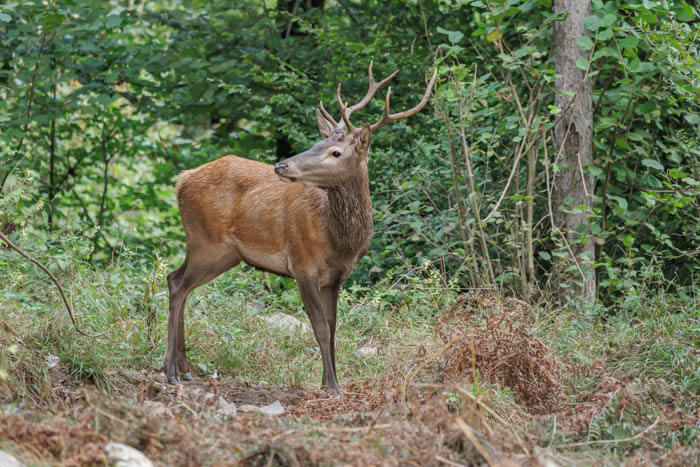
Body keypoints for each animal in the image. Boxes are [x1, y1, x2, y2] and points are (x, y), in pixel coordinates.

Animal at [165, 60, 438, 394]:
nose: (281, 165)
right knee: (178, 284)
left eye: (335, 152)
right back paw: (170, 371)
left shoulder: (335, 277)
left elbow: (333, 327)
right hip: (207, 242)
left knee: (178, 282)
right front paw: (331, 386)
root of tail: (182, 179)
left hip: (222, 253)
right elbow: (319, 326)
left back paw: (185, 368)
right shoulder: (302, 264)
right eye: (316, 142)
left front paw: (329, 382)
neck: (339, 240)